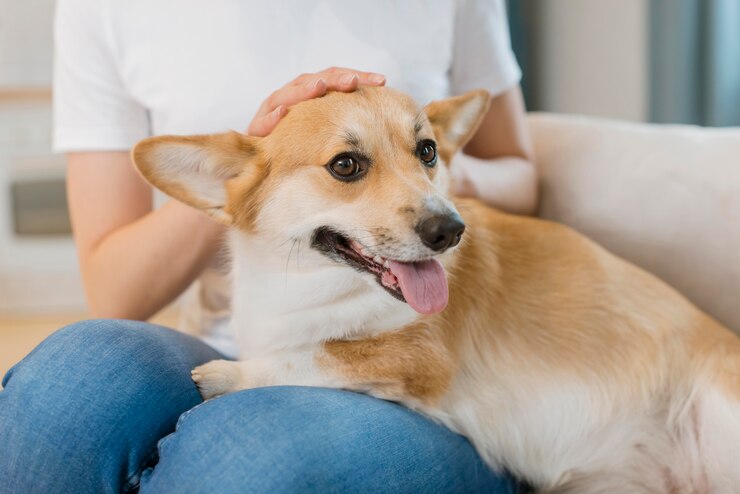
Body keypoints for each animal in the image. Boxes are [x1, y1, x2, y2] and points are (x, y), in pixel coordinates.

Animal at [133, 87, 740, 492]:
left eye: (426, 151)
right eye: (345, 165)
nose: (449, 230)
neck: (310, 288)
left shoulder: (421, 358)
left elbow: (316, 354)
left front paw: (226, 375)